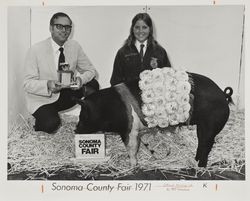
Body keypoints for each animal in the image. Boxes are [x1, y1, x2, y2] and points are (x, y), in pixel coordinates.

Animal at [73, 72, 232, 168]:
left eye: (83, 115)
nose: (75, 129)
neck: (108, 109)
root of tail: (223, 95)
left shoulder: (130, 130)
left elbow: (131, 148)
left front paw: (132, 166)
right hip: (203, 126)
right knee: (202, 142)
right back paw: (195, 161)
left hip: (210, 124)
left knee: (206, 144)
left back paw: (200, 166)